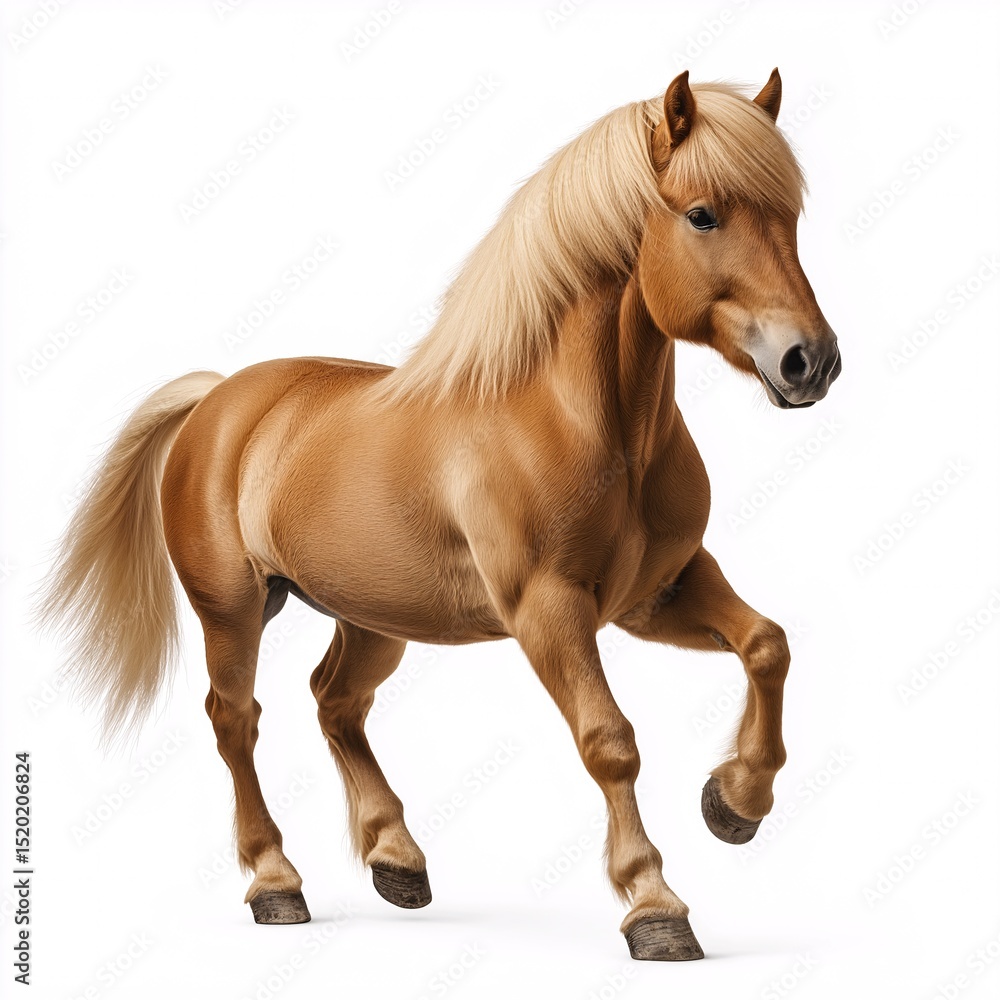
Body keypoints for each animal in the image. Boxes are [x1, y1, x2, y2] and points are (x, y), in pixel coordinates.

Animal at [39, 69, 840, 961]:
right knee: (235, 720)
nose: (810, 362)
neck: (580, 422)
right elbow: (610, 741)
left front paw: (735, 801)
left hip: (371, 617)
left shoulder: (653, 594)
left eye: (791, 216)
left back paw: (397, 859)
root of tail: (219, 399)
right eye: (702, 214)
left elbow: (767, 644)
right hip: (234, 609)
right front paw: (654, 906)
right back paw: (276, 883)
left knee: (335, 701)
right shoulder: (549, 611)